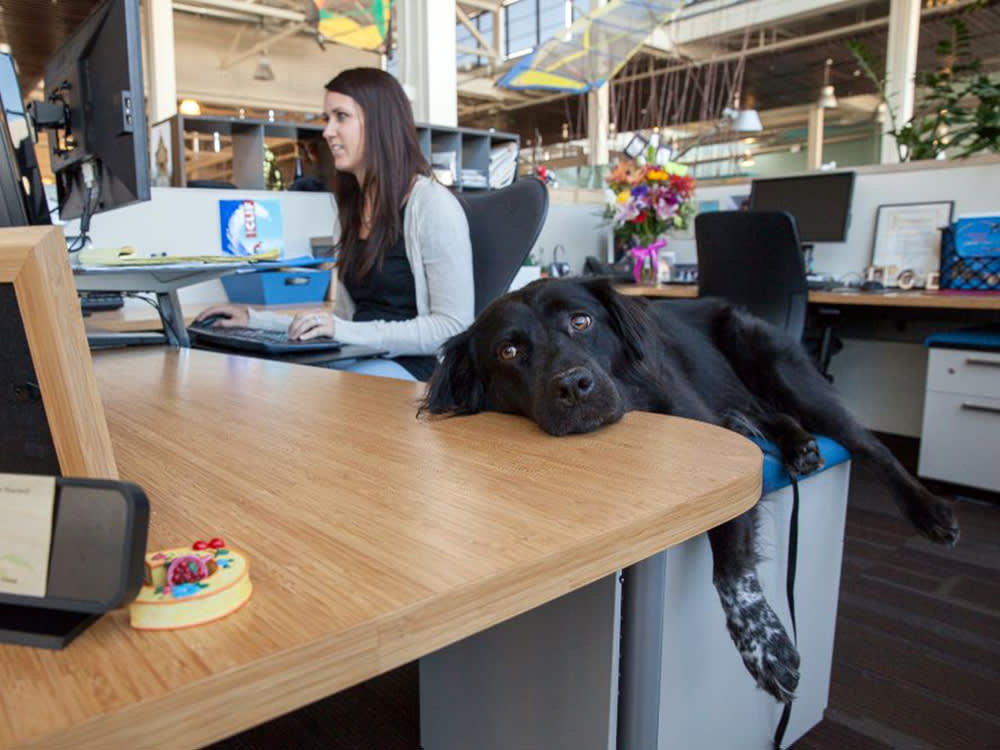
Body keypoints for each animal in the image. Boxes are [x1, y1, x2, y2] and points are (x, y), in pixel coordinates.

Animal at [416, 276, 960, 704]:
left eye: (581, 321)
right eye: (509, 352)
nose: (573, 386)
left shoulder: (719, 457)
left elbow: (730, 565)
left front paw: (766, 645)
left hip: (781, 370)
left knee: (867, 443)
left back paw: (928, 510)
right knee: (760, 412)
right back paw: (791, 441)